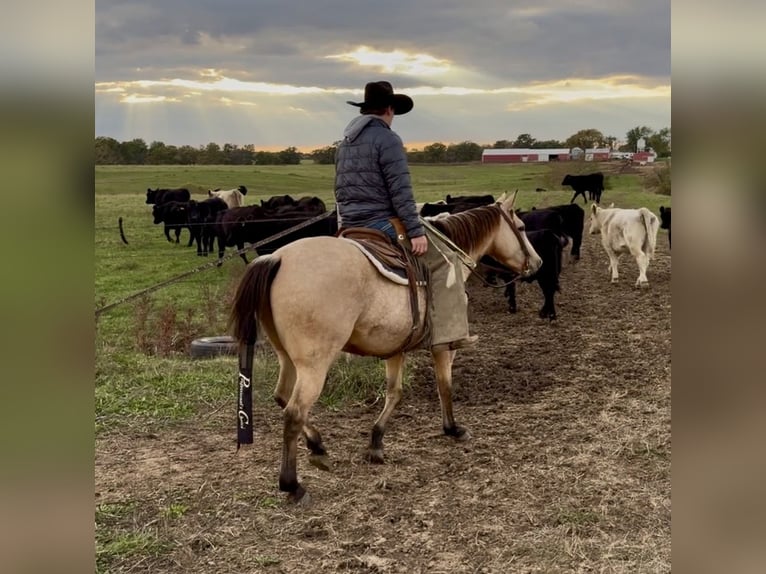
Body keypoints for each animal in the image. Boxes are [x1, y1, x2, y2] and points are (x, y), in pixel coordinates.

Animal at [229, 192, 543, 503]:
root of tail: (277, 257)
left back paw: (317, 445)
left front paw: (376, 441)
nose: (537, 263)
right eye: (521, 227)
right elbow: (444, 385)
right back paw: (292, 484)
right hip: (314, 365)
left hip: (287, 357)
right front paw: (452, 428)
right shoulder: (443, 346)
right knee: (294, 412)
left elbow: (394, 392)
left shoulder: (395, 348)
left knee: (282, 397)